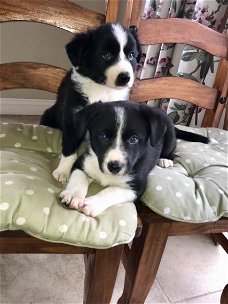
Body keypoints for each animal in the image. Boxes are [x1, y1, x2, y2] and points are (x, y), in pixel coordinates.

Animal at [40, 23, 141, 183]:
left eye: (131, 55)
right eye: (106, 55)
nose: (125, 77)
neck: (103, 89)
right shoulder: (72, 117)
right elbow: (69, 147)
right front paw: (63, 171)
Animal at [59, 101, 208, 217]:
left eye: (133, 139)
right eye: (103, 136)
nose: (114, 167)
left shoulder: (137, 187)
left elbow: (111, 191)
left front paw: (92, 204)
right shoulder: (82, 162)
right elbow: (79, 178)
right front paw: (73, 195)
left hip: (170, 136)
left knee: (171, 149)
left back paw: (165, 160)